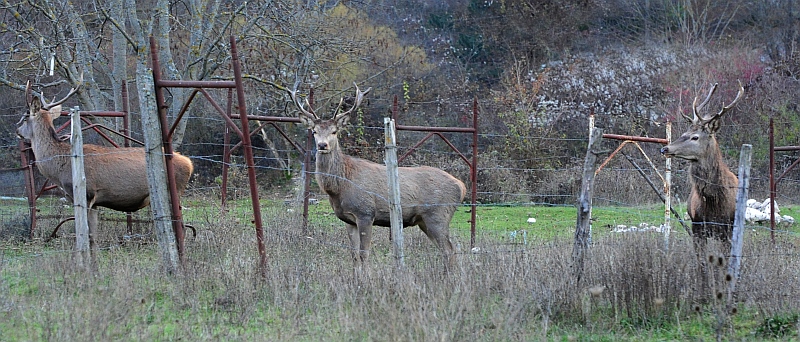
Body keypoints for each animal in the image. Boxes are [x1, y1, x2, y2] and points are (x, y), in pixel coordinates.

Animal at [16, 82, 195, 252]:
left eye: (25, 117)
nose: (17, 129)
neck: (61, 167)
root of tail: (189, 163)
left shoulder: (86, 194)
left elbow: (84, 234)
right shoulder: (94, 202)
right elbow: (93, 237)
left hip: (173, 191)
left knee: (181, 227)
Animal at [288, 83, 466, 270]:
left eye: (334, 131)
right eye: (314, 131)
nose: (322, 145)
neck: (339, 187)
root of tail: (461, 186)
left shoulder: (365, 213)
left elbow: (363, 254)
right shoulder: (348, 220)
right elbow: (354, 255)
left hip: (438, 214)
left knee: (449, 249)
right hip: (425, 220)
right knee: (448, 249)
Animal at [660, 81, 748, 290]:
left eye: (695, 137)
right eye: (684, 133)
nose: (665, 148)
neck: (714, 203)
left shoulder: (727, 228)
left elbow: (725, 261)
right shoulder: (698, 225)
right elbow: (701, 263)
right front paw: (704, 288)